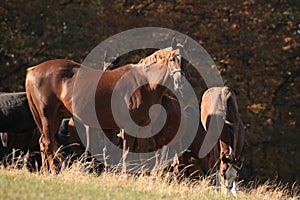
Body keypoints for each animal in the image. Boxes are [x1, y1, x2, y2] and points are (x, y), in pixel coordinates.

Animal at [25, 48, 183, 173]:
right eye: (171, 59)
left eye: (180, 61)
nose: (179, 82)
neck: (144, 84)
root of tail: (33, 70)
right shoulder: (128, 128)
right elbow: (127, 153)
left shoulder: (143, 127)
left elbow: (142, 153)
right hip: (47, 115)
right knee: (47, 143)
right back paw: (53, 171)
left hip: (56, 116)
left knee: (44, 142)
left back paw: (46, 172)